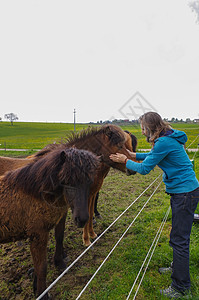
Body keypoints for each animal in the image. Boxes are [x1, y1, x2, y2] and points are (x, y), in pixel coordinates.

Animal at [0, 147, 99, 298]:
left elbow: (38, 264)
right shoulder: (38, 235)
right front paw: (43, 295)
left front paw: (36, 288)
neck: (34, 194)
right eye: (67, 181)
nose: (82, 219)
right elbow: (42, 267)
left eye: (89, 181)